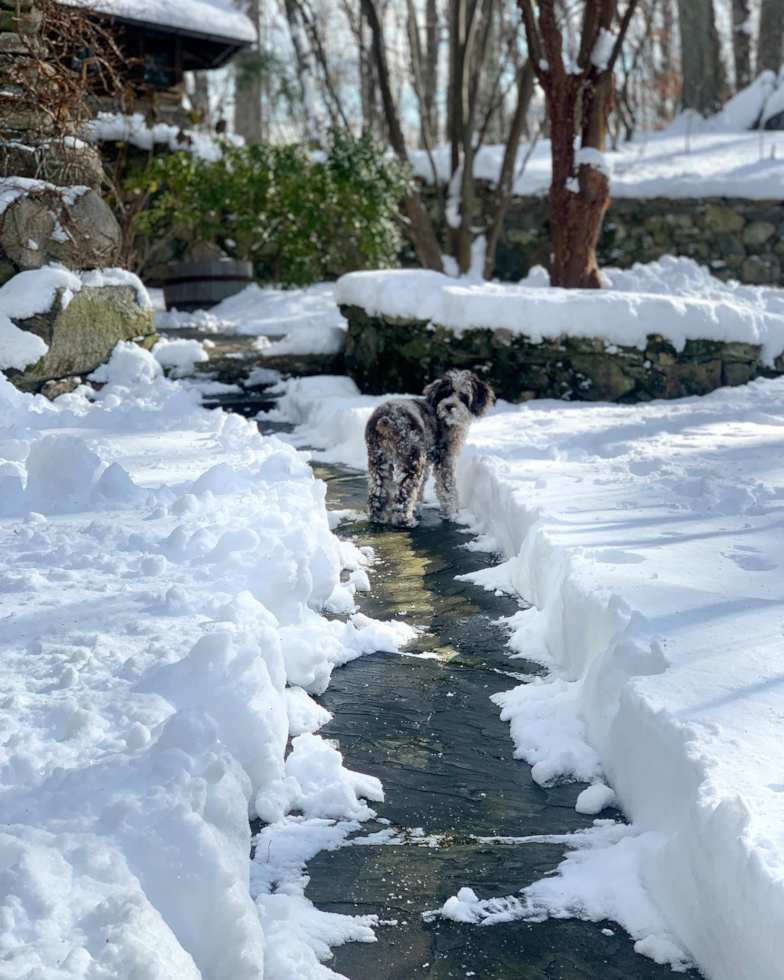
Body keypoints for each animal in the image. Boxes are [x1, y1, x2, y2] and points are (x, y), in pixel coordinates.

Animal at [364, 370, 494, 528]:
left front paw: (417, 509)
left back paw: (377, 518)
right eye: (447, 392)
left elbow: (421, 489)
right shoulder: (445, 458)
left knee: (378, 490)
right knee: (403, 493)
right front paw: (453, 513)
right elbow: (447, 488)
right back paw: (405, 521)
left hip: (379, 458)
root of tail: (387, 418)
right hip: (412, 459)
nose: (449, 406)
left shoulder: (426, 462)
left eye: (463, 396)